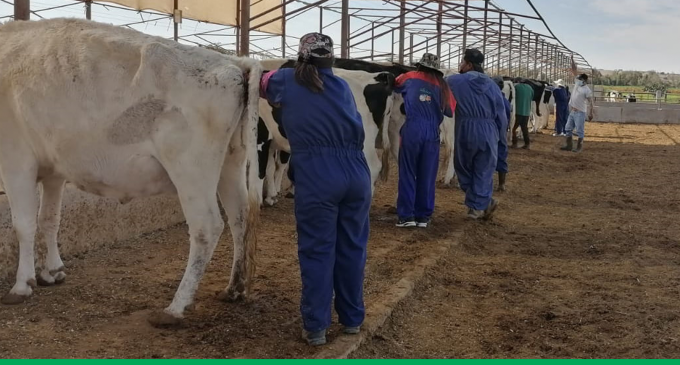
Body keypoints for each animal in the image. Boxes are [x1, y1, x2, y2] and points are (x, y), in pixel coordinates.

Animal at [0, 17, 262, 324]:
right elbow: (49, 220)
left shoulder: (15, 159)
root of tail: (234, 62)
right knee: (239, 217)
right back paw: (234, 289)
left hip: (191, 169)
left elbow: (24, 224)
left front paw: (22, 285)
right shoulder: (53, 170)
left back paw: (176, 307)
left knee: (206, 227)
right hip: (231, 163)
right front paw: (51, 272)